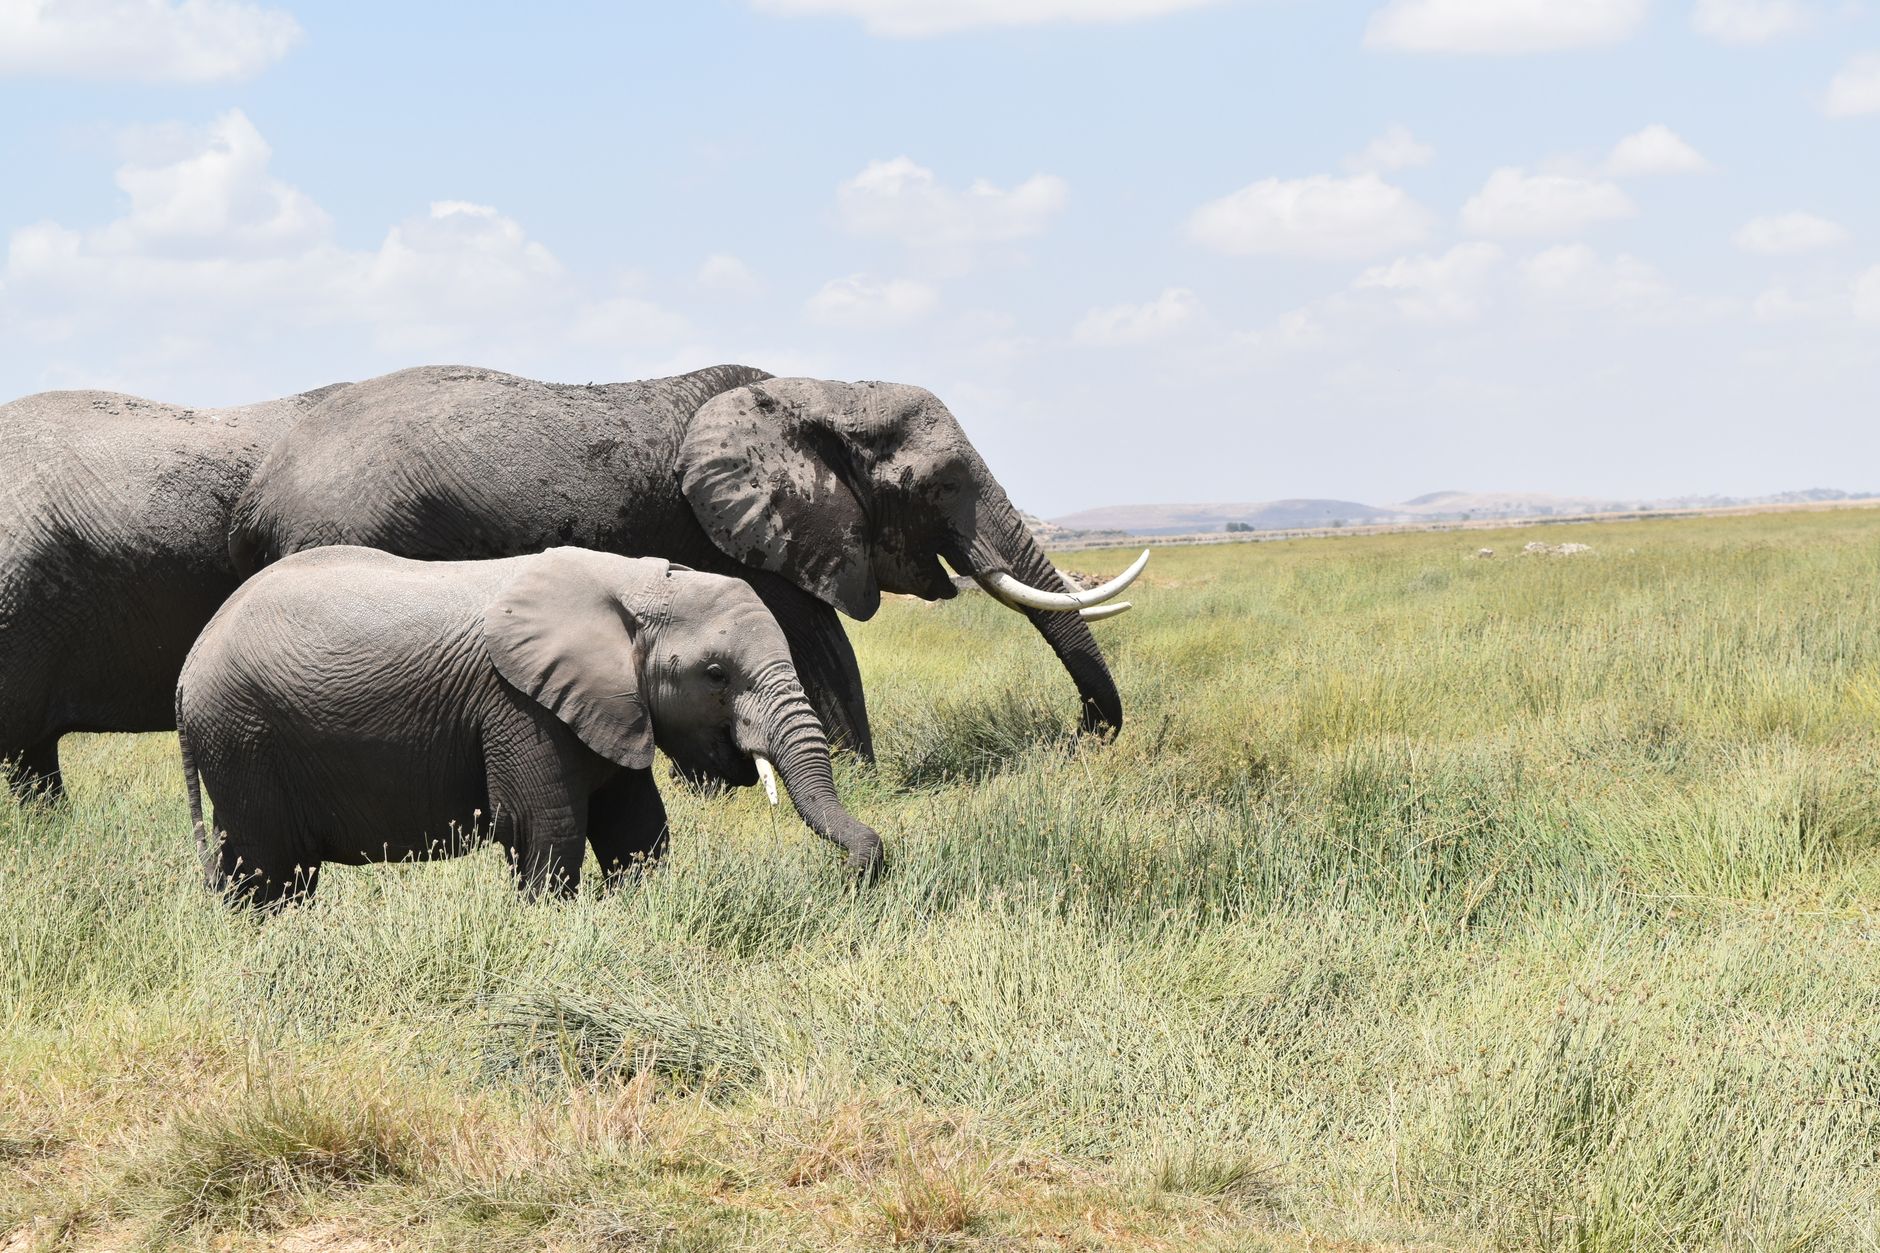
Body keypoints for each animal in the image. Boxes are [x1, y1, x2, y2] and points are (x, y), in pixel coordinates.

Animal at [176, 545, 883, 906]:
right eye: (715, 675)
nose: (854, 875)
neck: (630, 583)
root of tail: (190, 664)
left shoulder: (604, 704)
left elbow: (638, 829)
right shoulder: (518, 704)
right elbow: (547, 824)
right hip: (241, 730)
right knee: (265, 863)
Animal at [226, 366, 1144, 761]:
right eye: (943, 482)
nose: (1083, 737)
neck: (818, 390)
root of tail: (264, 486)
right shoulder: (744, 532)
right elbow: (820, 644)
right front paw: (861, 773)